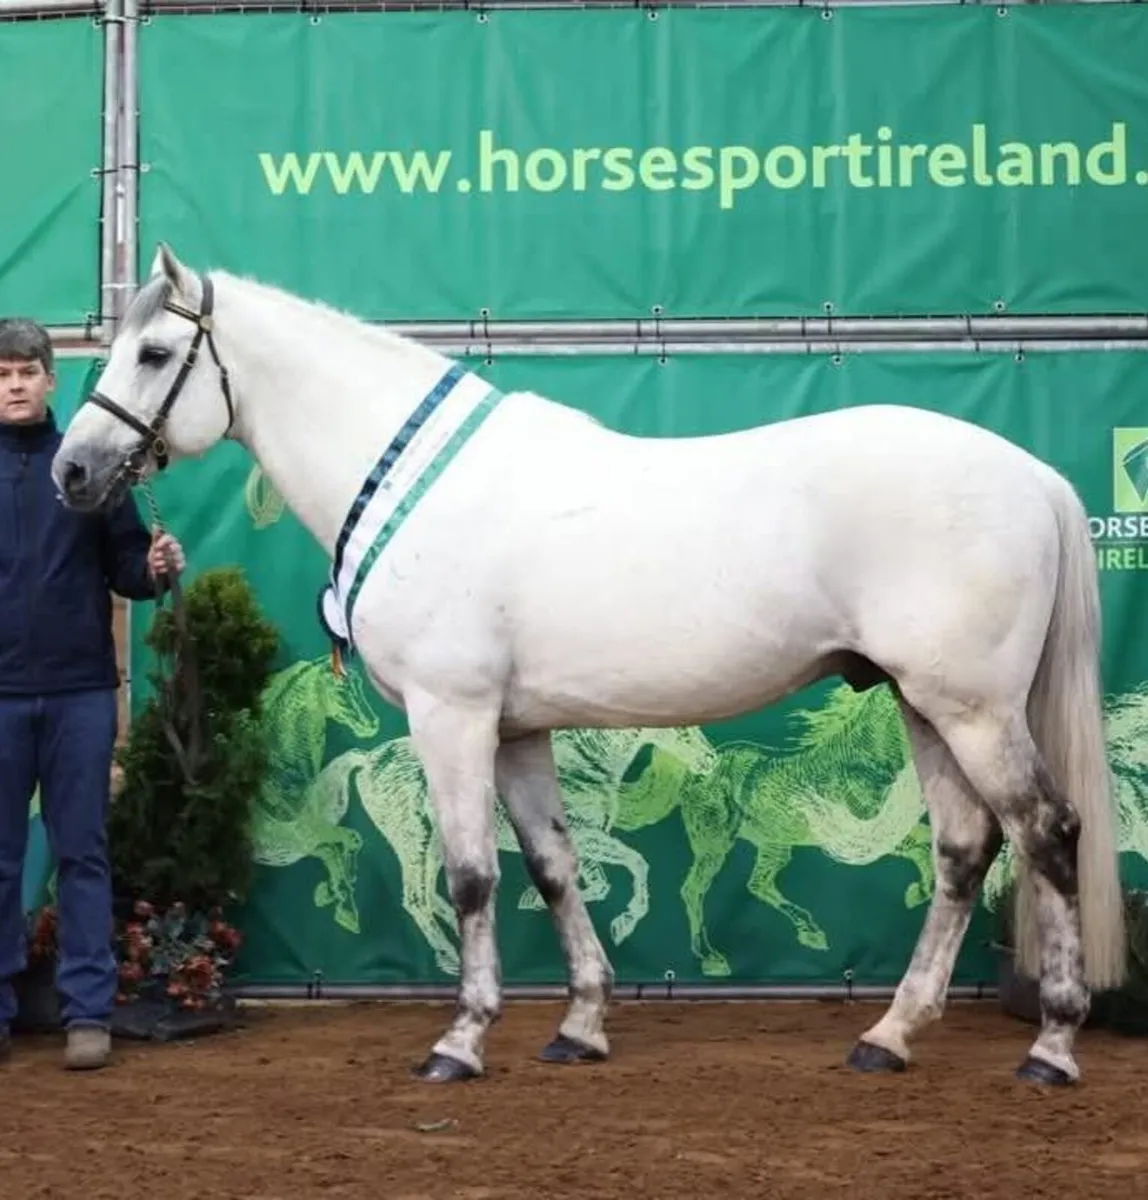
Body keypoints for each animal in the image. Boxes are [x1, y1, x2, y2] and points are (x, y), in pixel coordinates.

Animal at [51, 242, 1126, 1088]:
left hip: (975, 708)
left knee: (1047, 833)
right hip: (921, 702)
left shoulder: (451, 714)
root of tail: (1035, 476)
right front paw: (580, 1026)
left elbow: (473, 876)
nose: (73, 470)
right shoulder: (518, 728)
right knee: (963, 850)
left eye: (154, 353)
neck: (412, 486)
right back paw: (890, 1035)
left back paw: (1051, 1048)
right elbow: (555, 866)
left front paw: (461, 1041)